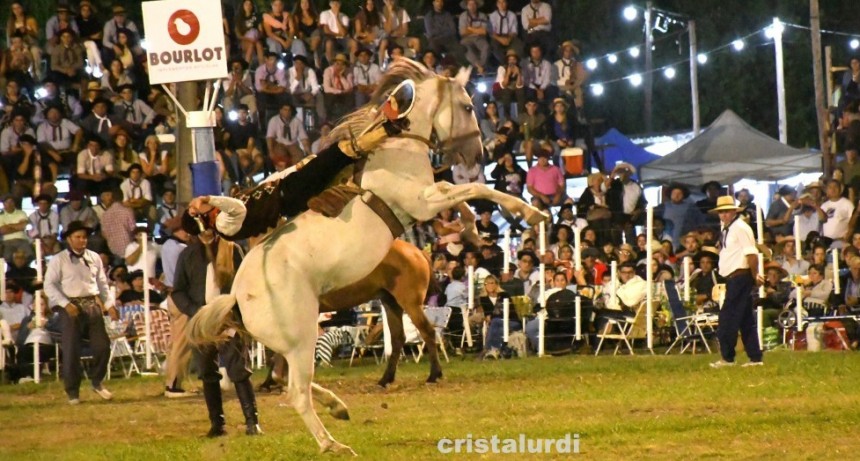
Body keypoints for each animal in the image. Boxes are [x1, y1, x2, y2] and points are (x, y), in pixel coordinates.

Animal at [187, 59, 547, 454]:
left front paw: (472, 225)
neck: (395, 150)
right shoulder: (423, 202)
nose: (477, 155)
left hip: (301, 336)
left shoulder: (429, 198)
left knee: (291, 378)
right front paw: (530, 212)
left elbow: (460, 192)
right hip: (302, 334)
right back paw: (333, 443)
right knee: (295, 390)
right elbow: (473, 187)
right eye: (468, 107)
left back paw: (338, 407)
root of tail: (237, 295)